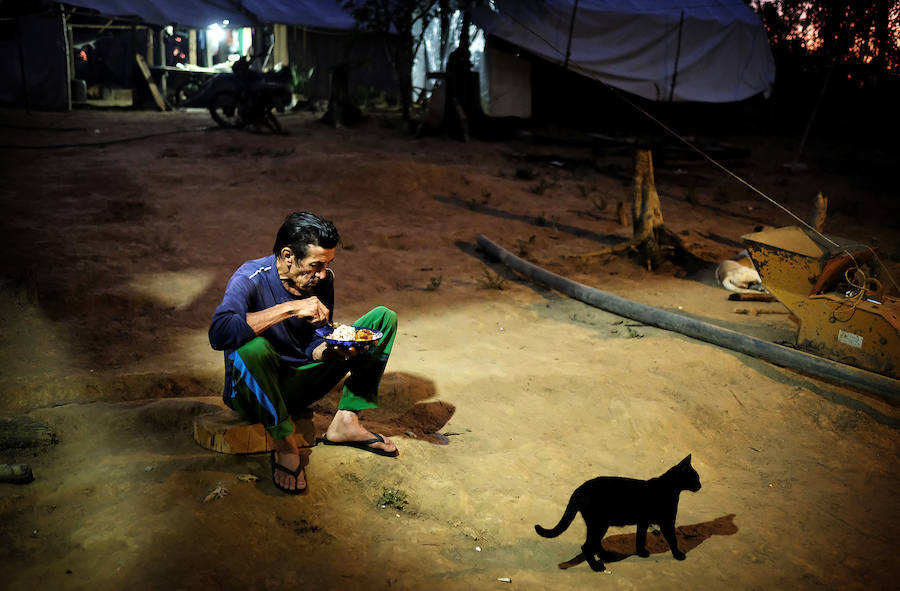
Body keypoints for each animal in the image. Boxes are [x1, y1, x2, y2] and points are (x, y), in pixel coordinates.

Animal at [536, 456, 704, 572]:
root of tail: (579, 489)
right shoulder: (667, 522)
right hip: (599, 523)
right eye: (695, 478)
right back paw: (596, 567)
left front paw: (641, 553)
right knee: (587, 546)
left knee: (595, 543)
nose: (700, 485)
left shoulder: (643, 522)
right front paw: (679, 555)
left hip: (600, 524)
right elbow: (673, 540)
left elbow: (640, 538)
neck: (670, 488)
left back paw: (607, 556)